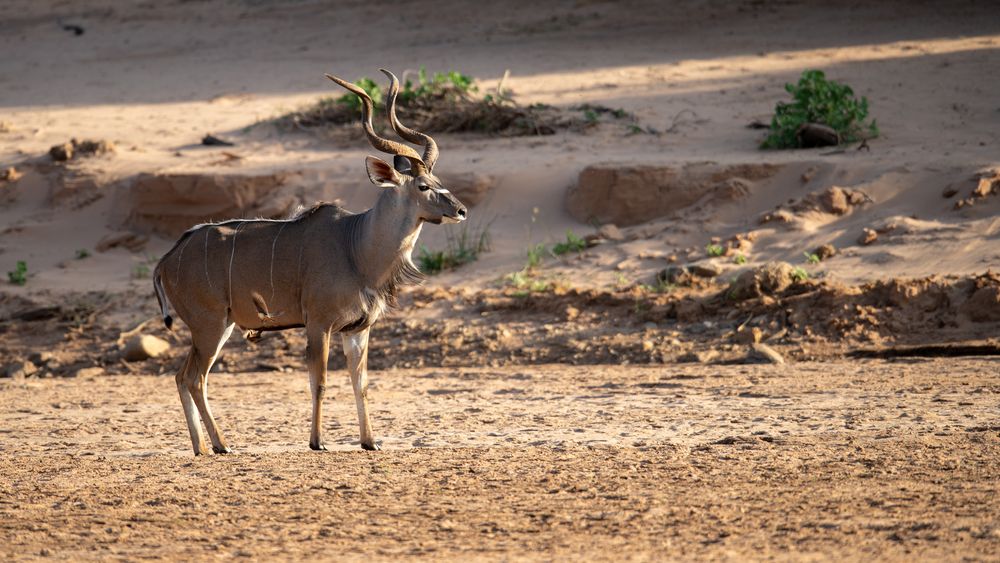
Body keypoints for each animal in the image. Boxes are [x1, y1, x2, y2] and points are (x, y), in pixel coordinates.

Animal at [154, 71, 466, 458]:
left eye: (439, 182)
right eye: (423, 186)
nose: (460, 210)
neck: (356, 245)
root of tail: (167, 260)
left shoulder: (357, 330)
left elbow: (361, 383)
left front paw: (370, 441)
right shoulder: (319, 324)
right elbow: (320, 381)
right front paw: (318, 442)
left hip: (217, 326)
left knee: (183, 375)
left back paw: (201, 447)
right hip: (209, 326)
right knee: (195, 377)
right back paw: (222, 445)